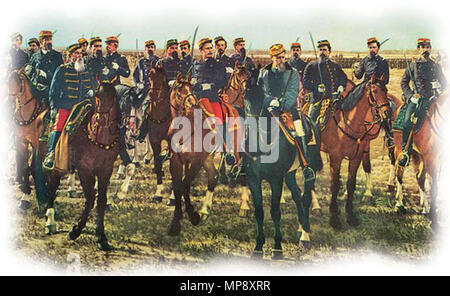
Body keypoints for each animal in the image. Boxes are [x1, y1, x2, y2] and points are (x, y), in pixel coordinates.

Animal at [7, 69, 48, 208]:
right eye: (6, 80)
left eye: (17, 82)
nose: (7, 100)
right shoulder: (22, 142)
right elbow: (25, 167)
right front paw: (25, 196)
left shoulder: (37, 144)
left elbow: (35, 166)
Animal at [35, 82, 119, 250]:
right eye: (97, 95)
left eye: (113, 95)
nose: (101, 119)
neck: (99, 138)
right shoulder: (85, 170)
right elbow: (91, 198)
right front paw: (76, 231)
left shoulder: (106, 169)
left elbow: (101, 200)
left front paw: (101, 237)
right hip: (52, 166)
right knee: (51, 190)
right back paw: (50, 223)